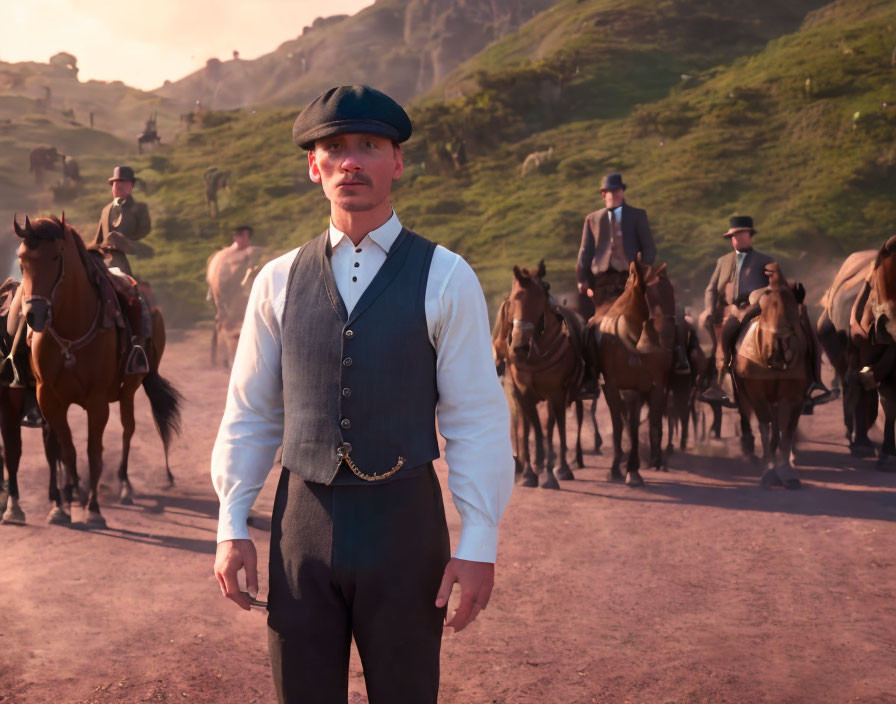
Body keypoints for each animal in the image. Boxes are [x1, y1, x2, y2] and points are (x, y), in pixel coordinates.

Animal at [13, 217, 181, 524]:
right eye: (22, 260)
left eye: (55, 257)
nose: (34, 315)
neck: (71, 330)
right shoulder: (49, 399)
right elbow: (68, 449)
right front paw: (65, 505)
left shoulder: (97, 401)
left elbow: (94, 451)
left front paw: (93, 509)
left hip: (130, 389)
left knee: (128, 430)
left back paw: (125, 486)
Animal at [490, 262, 588, 486]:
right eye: (512, 300)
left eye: (540, 299)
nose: (519, 347)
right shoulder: (524, 393)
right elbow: (531, 428)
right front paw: (530, 471)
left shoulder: (557, 393)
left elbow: (557, 426)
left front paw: (559, 470)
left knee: (573, 418)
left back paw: (575, 459)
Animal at [584, 258, 676, 484]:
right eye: (656, 295)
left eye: (672, 292)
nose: (669, 337)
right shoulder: (612, 386)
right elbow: (618, 424)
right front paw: (616, 466)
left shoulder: (644, 387)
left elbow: (637, 425)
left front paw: (633, 469)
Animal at [736, 266, 812, 486]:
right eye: (763, 312)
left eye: (795, 318)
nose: (777, 351)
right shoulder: (757, 394)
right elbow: (765, 428)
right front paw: (769, 471)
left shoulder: (795, 396)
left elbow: (787, 431)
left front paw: (786, 471)